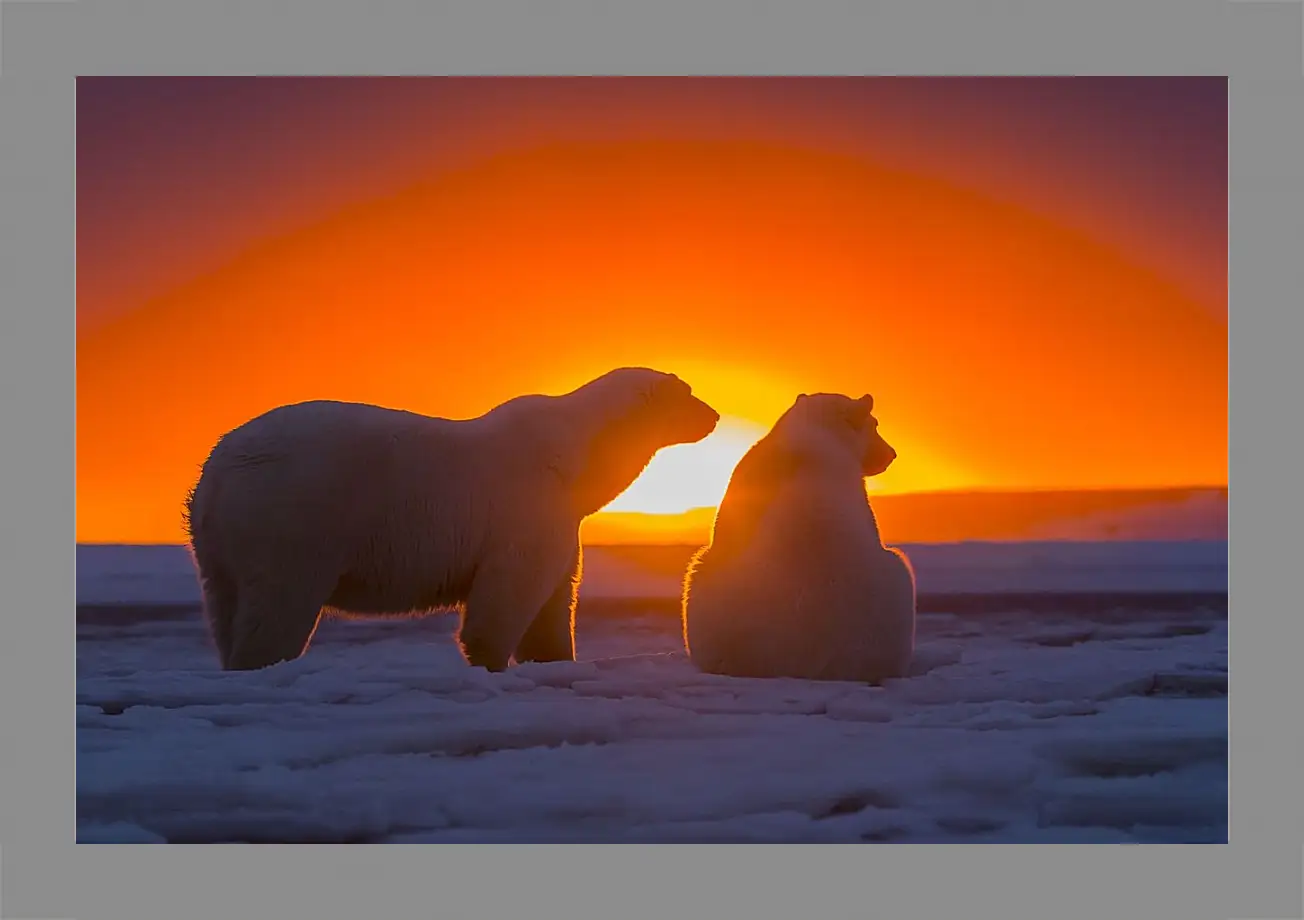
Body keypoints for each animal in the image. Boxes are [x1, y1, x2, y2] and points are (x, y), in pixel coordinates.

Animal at [183, 367, 719, 672]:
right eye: (688, 391)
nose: (714, 415)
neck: (580, 456)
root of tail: (218, 470)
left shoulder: (562, 520)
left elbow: (554, 596)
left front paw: (555, 658)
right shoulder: (524, 508)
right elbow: (510, 591)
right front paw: (490, 661)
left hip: (217, 545)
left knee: (225, 604)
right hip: (296, 517)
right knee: (280, 602)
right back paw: (261, 663)